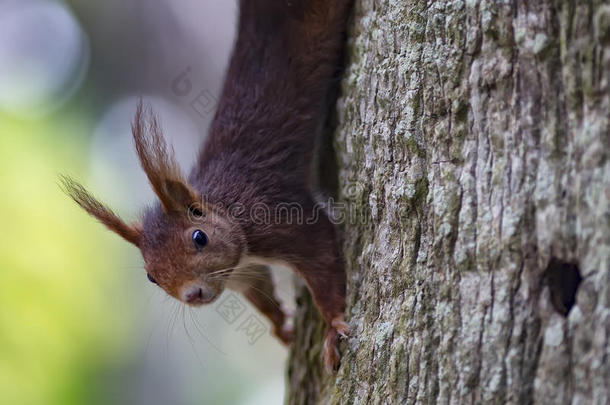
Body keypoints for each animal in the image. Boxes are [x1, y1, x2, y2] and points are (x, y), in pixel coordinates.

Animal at [61, 0, 352, 370]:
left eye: (200, 238)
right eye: (151, 276)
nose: (193, 295)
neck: (227, 210)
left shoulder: (279, 218)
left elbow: (322, 255)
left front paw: (333, 325)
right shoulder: (244, 272)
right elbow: (261, 294)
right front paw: (281, 327)